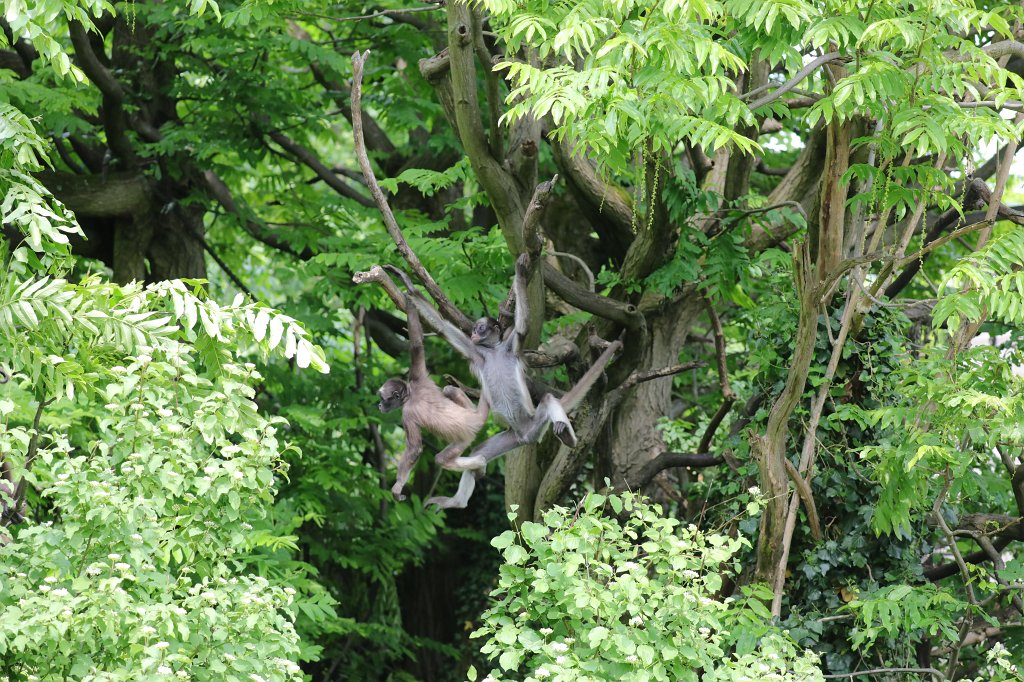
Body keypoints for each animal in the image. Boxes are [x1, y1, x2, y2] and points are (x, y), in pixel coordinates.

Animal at [378, 288, 490, 508]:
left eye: (384, 399)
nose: (379, 405)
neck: (411, 394)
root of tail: (474, 418)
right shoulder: (418, 378)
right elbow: (416, 345)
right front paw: (410, 299)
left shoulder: (407, 412)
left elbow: (414, 449)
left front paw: (398, 486)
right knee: (449, 389)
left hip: (464, 438)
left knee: (441, 459)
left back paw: (480, 462)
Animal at [397, 255, 622, 508]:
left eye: (480, 327)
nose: (474, 333)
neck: (494, 351)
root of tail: (524, 435)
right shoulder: (477, 353)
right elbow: (445, 328)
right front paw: (409, 284)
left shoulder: (510, 345)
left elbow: (523, 328)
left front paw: (521, 274)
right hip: (510, 438)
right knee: (479, 450)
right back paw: (458, 502)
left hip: (535, 423)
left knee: (547, 399)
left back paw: (568, 437)